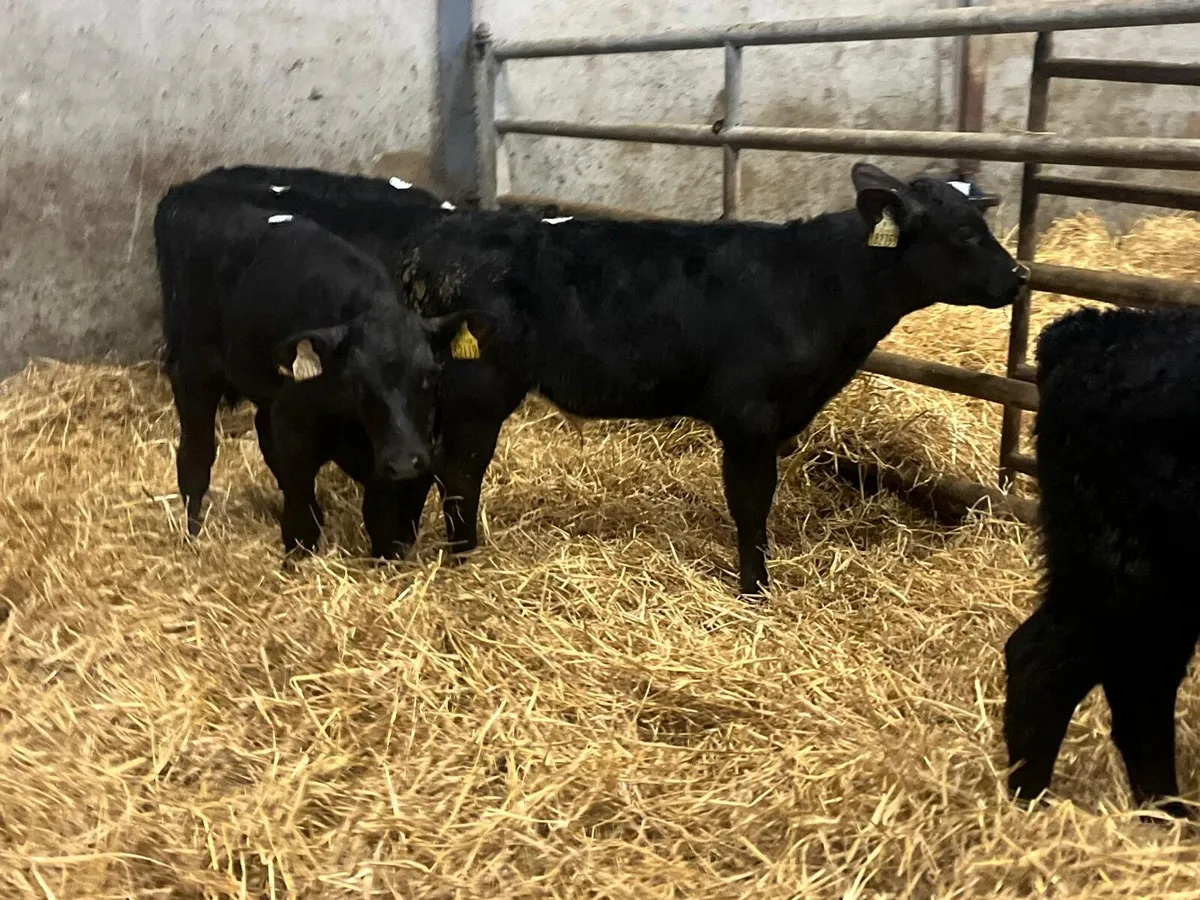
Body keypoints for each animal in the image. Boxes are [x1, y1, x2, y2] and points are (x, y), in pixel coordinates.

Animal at [153, 182, 489, 558]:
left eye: (430, 375)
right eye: (357, 383)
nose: (404, 462)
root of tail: (183, 194)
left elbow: (382, 516)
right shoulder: (295, 428)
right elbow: (301, 514)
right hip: (192, 369)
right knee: (196, 456)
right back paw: (194, 533)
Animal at [385, 161, 1026, 597]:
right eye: (965, 234)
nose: (1020, 276)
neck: (817, 282)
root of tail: (437, 235)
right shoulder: (749, 417)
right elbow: (751, 504)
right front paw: (754, 588)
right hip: (478, 389)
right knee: (461, 471)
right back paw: (463, 556)